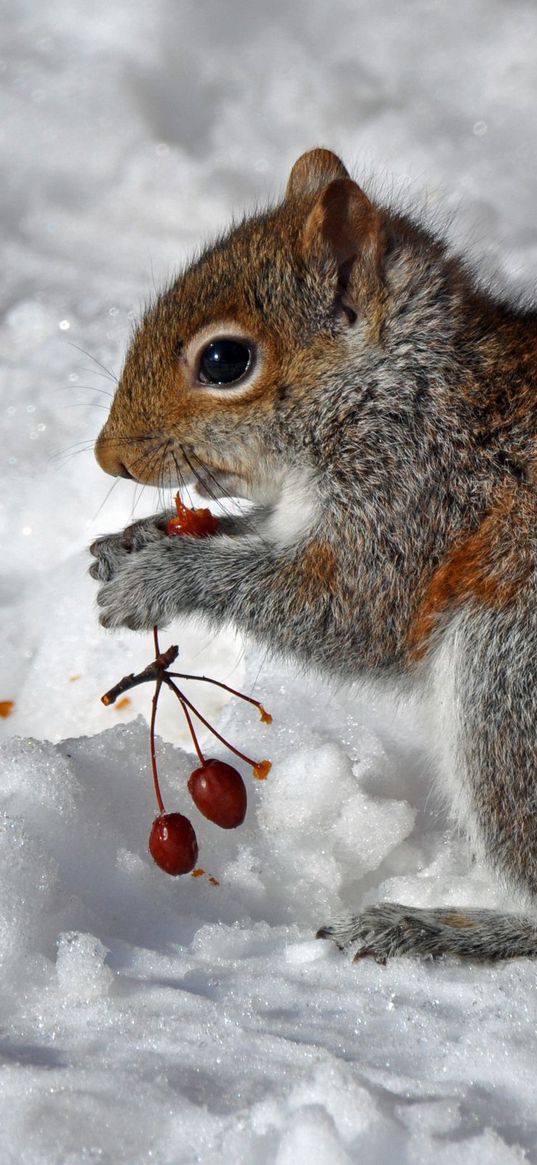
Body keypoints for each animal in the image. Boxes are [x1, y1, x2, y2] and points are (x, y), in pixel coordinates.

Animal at [90, 147, 535, 964]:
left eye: (224, 359)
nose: (112, 459)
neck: (402, 387)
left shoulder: (415, 497)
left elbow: (346, 611)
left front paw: (162, 578)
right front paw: (133, 541)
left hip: (506, 675)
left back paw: (431, 928)